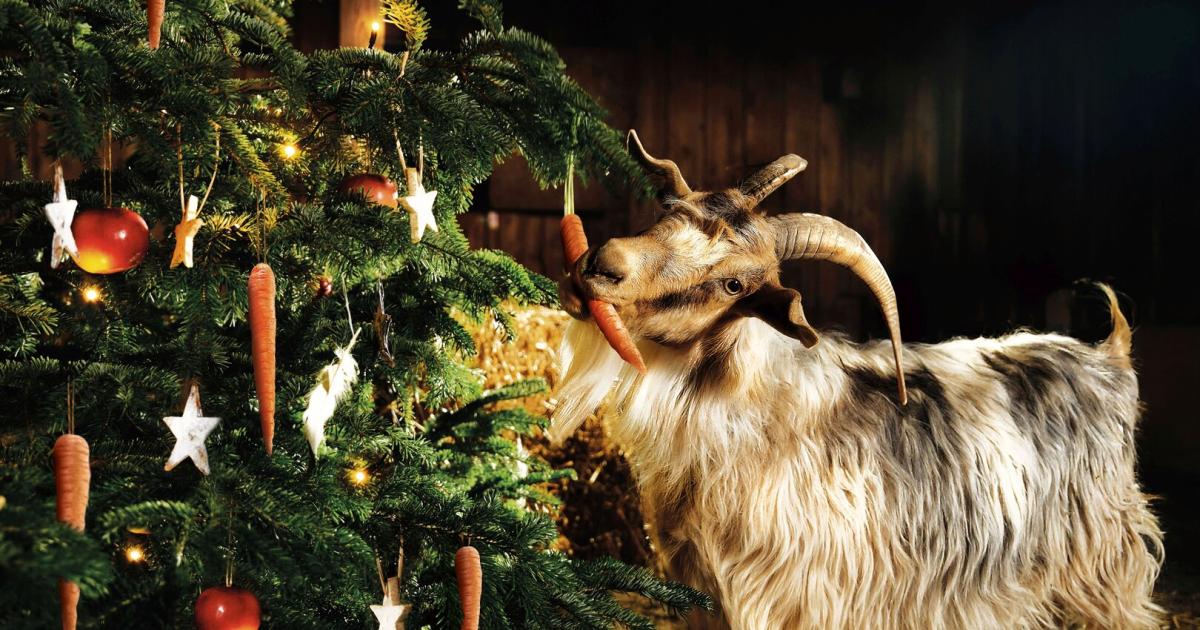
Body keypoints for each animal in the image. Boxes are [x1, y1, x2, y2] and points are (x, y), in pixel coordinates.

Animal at [550, 131, 1163, 629]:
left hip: (1104, 567)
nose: (602, 265)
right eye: (667, 212)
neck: (755, 415)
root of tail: (1107, 356)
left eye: (734, 284)